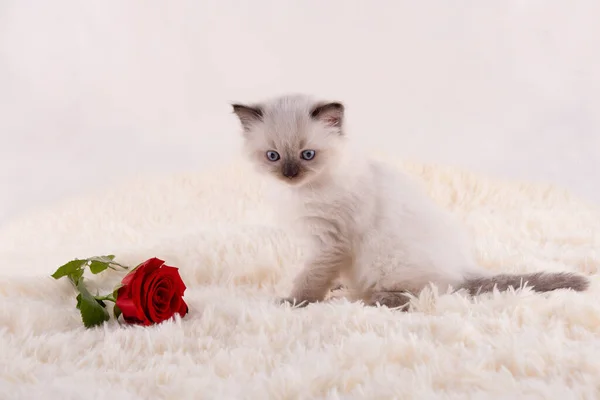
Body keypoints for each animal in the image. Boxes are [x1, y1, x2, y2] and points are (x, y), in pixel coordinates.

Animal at [232, 94, 588, 310]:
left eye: (307, 155)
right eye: (273, 156)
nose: (290, 173)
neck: (302, 192)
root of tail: (464, 267)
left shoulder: (328, 244)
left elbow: (309, 280)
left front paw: (294, 302)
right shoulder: (322, 246)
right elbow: (316, 277)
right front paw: (321, 291)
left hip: (388, 263)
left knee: (426, 294)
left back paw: (373, 299)